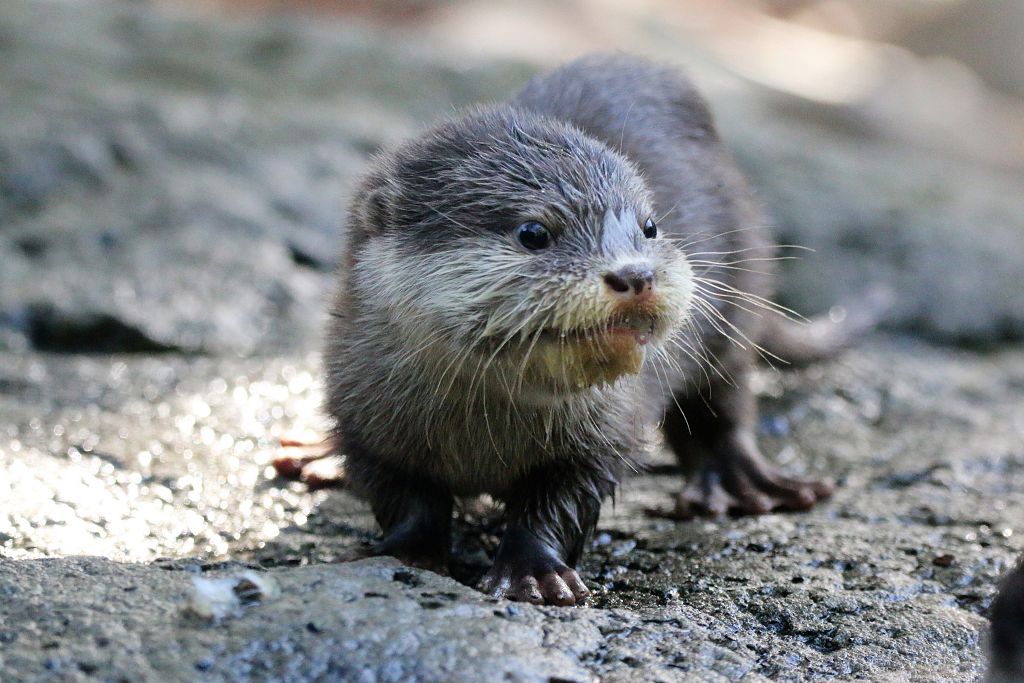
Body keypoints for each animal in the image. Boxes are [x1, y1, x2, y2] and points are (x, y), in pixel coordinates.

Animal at [289, 54, 847, 605]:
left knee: (725, 400)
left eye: (649, 227)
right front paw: (402, 551)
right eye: (534, 232)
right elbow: (403, 496)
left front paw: (532, 571)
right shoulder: (361, 413)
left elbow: (560, 502)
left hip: (737, 297)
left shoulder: (606, 431)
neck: (480, 433)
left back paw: (740, 483)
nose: (636, 275)